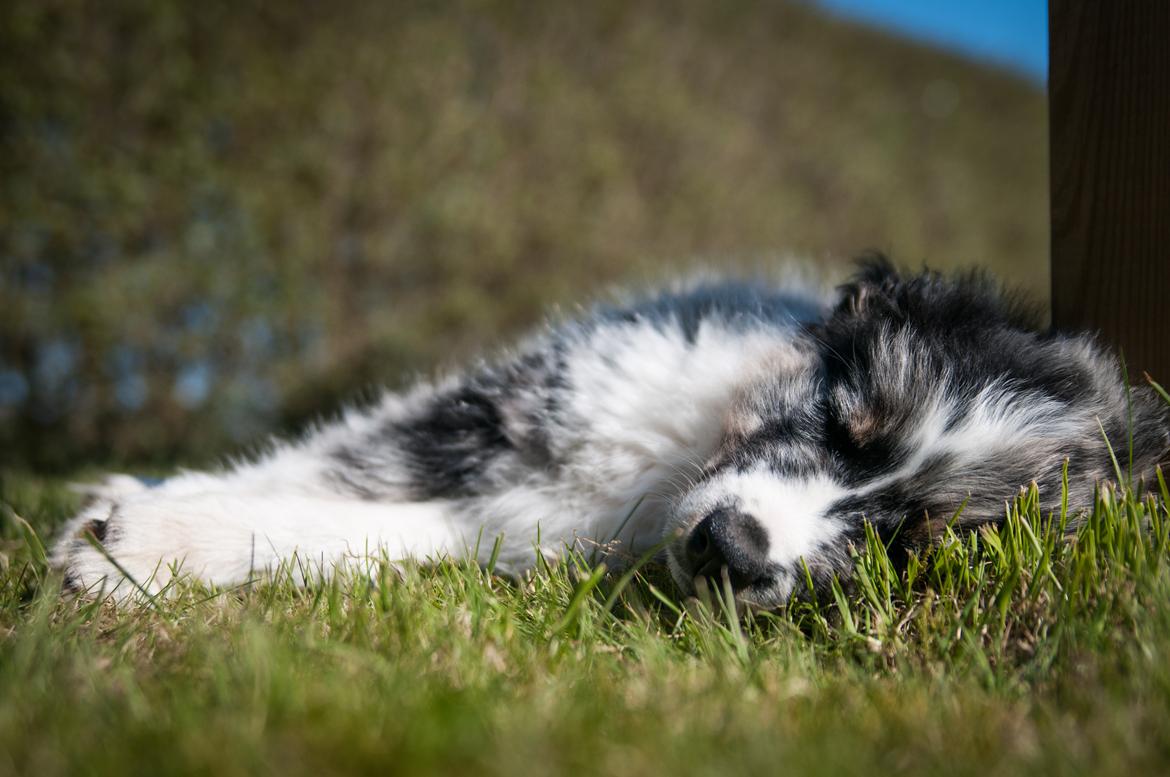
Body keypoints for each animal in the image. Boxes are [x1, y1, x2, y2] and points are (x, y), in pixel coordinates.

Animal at [52, 257, 1170, 603]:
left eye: (909, 544)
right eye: (841, 419)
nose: (730, 549)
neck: (675, 465)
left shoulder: (541, 529)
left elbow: (393, 526)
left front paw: (146, 547)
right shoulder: (525, 400)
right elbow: (340, 459)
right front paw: (146, 518)